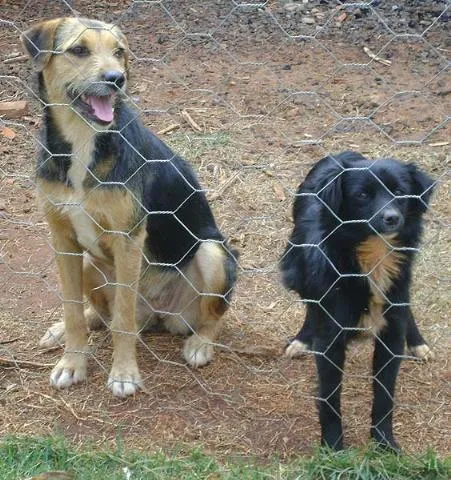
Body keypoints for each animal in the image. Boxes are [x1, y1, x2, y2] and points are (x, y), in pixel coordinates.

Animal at [20, 17, 240, 398]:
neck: (83, 143)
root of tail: (157, 313)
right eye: (79, 50)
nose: (116, 79)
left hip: (212, 252)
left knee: (212, 316)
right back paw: (64, 328)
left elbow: (122, 321)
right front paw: (72, 362)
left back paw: (200, 344)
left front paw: (123, 374)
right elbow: (72, 308)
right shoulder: (63, 239)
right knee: (97, 313)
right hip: (89, 261)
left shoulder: (128, 240)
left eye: (119, 52)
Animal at [280, 151, 436, 450]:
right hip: (294, 268)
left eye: (400, 192)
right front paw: (333, 447)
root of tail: (343, 153)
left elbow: (385, 395)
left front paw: (384, 442)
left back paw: (418, 343)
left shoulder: (391, 333)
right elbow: (330, 398)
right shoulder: (330, 338)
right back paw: (302, 339)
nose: (391, 218)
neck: (373, 258)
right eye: (362, 195)